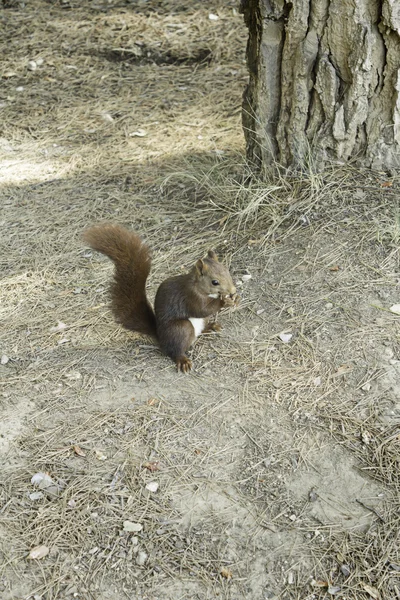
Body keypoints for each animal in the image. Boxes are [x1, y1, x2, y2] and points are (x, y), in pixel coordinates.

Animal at [82, 224, 238, 370]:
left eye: (227, 271)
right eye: (214, 282)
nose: (233, 290)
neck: (198, 286)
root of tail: (161, 338)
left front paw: (235, 298)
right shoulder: (190, 297)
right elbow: (202, 309)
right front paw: (224, 301)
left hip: (199, 324)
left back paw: (211, 326)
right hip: (181, 329)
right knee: (175, 351)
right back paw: (183, 360)